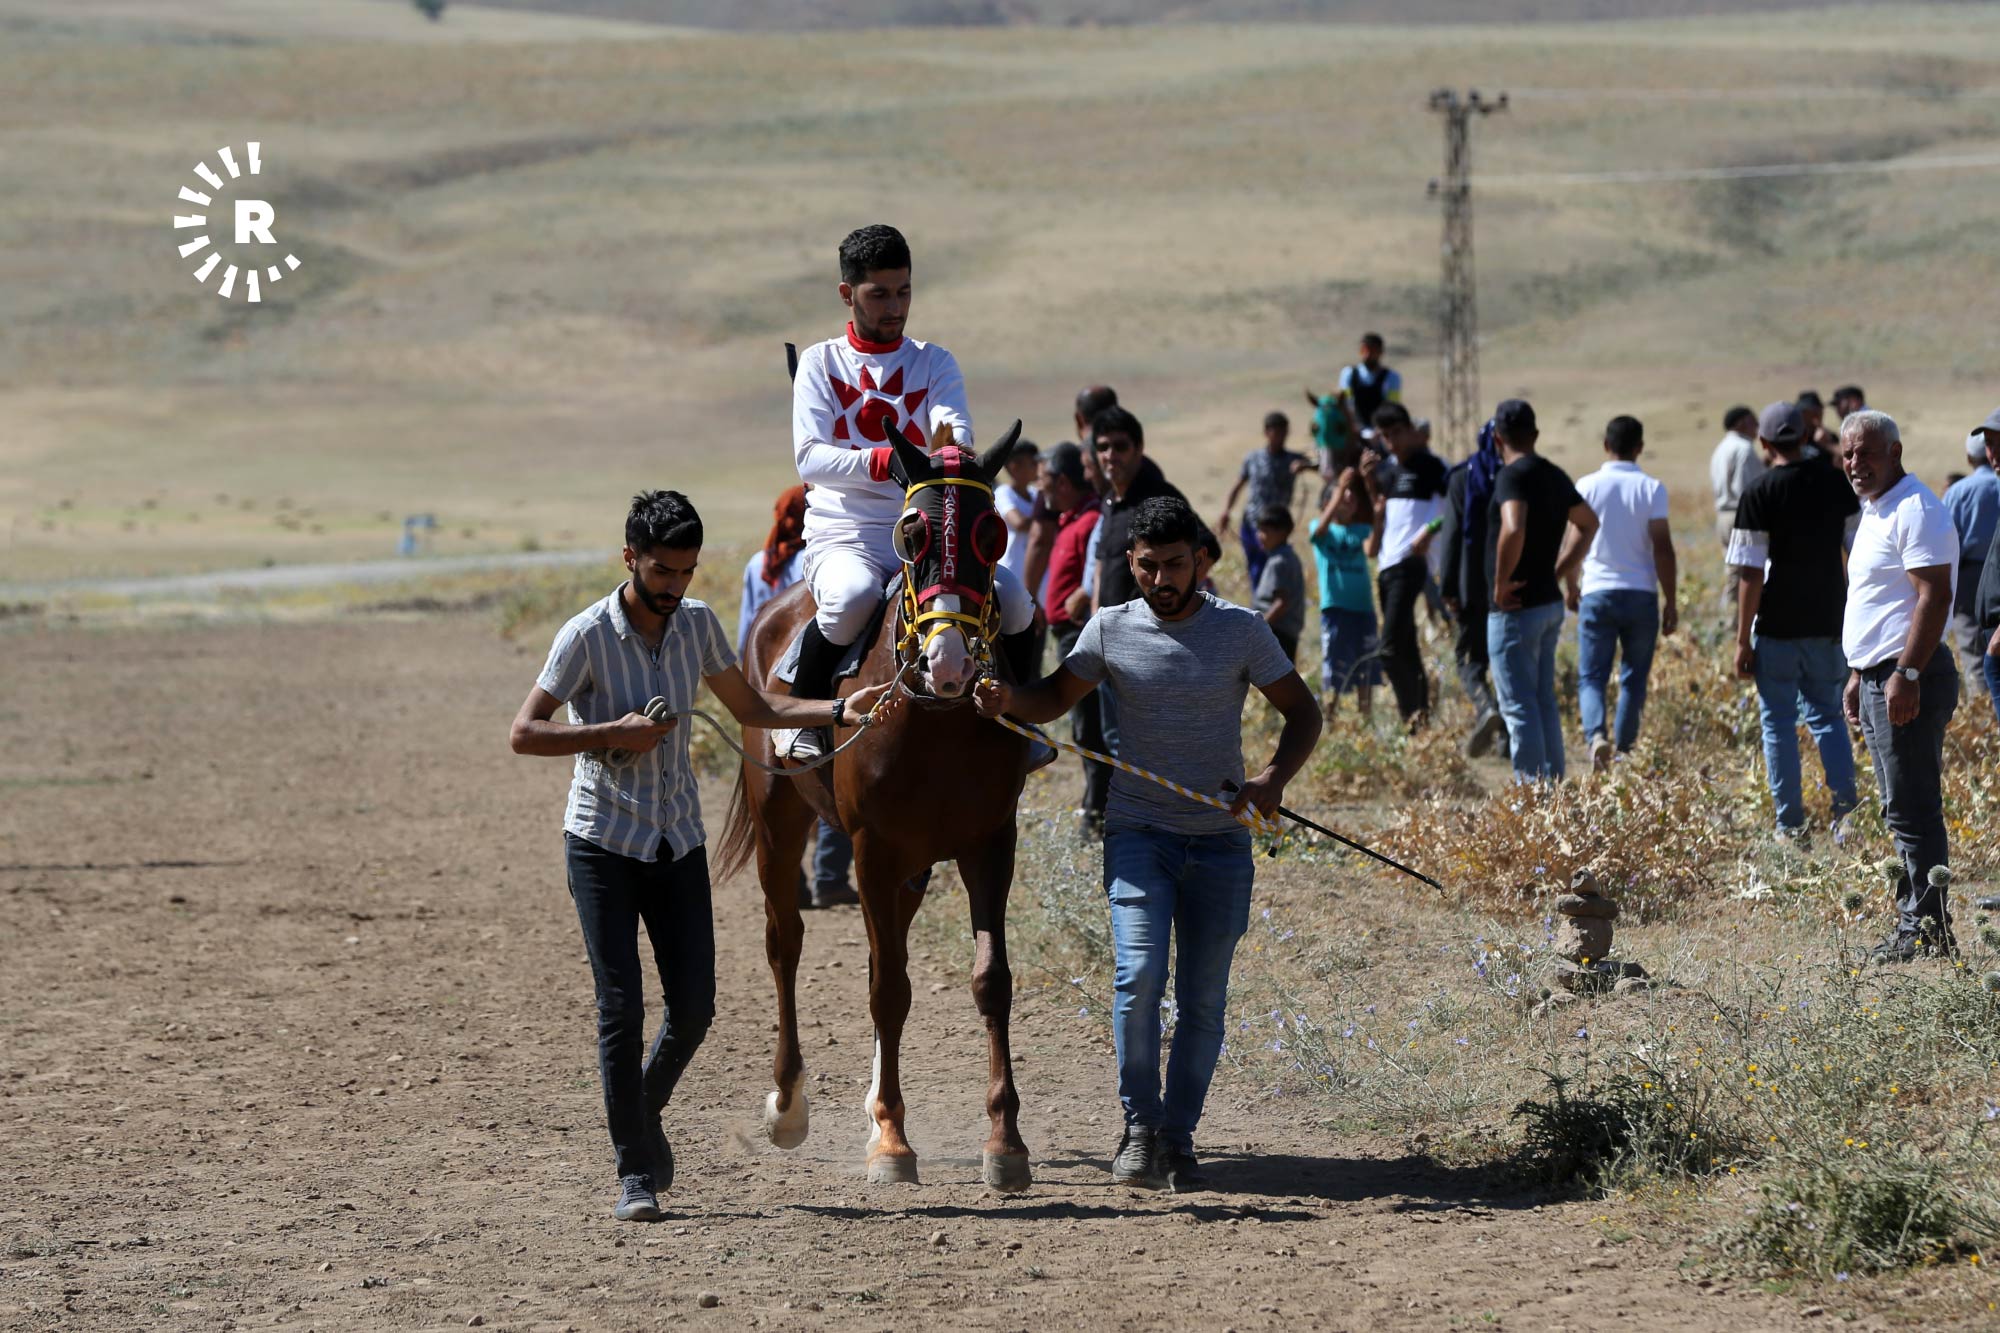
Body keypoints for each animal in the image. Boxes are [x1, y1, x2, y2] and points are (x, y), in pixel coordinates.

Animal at [717, 420, 1038, 1191]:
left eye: (992, 532)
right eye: (913, 531)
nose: (950, 661)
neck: (938, 717)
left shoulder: (989, 843)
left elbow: (991, 981)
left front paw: (1005, 1140)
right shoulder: (871, 847)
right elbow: (889, 988)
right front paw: (892, 1139)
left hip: (911, 869)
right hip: (780, 825)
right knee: (785, 943)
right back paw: (787, 1105)